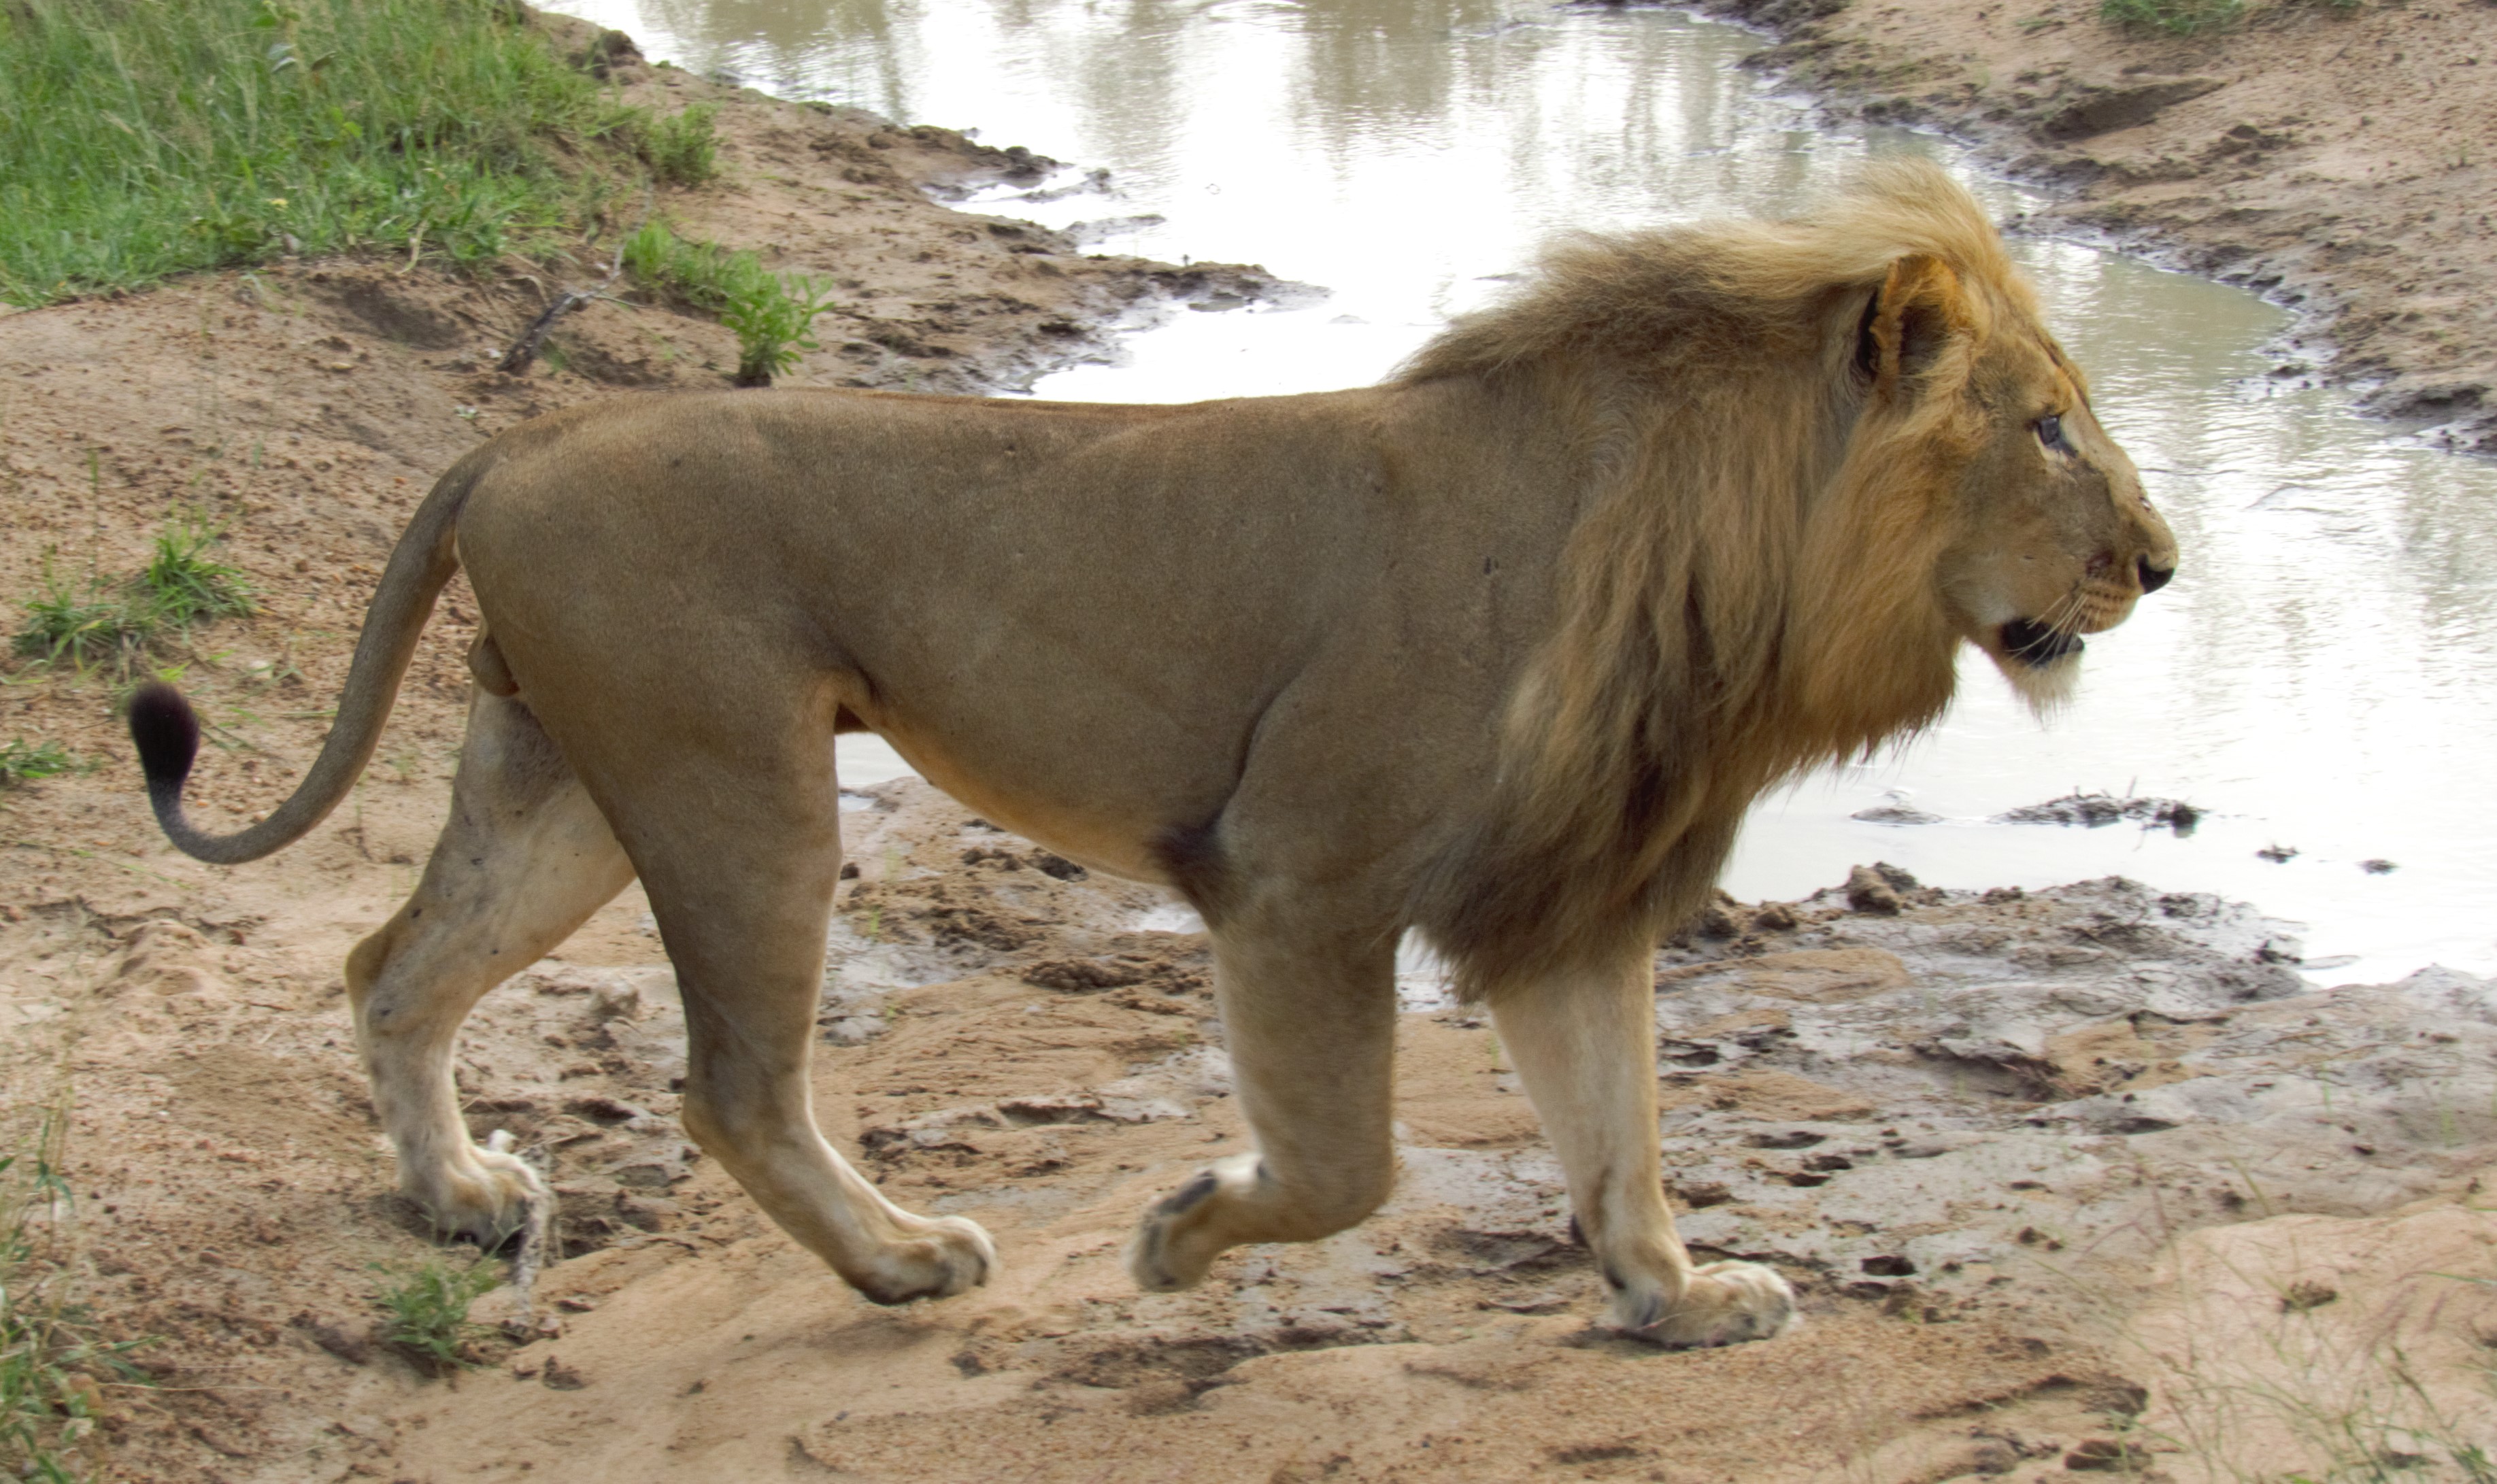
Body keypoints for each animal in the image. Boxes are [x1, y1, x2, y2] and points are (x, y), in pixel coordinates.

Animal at [128, 161, 2175, 1348]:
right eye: (2046, 427)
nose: (2160, 563)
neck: (1716, 552)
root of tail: (517, 439)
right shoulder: (1297, 872)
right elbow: (1348, 1159)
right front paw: (1183, 1236)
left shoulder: (1567, 894)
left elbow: (1621, 1129)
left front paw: (1673, 1293)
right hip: (734, 783)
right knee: (727, 1081)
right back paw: (897, 1262)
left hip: (563, 782)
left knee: (389, 964)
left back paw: (454, 1193)